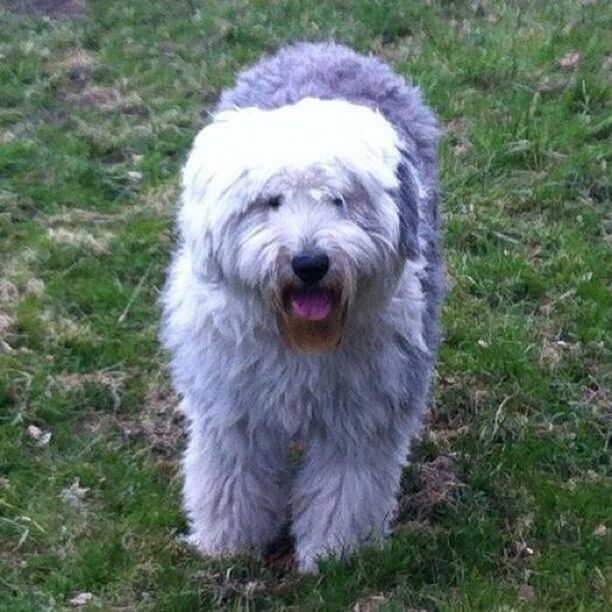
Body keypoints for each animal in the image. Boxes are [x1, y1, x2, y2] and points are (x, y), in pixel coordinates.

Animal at [160, 41, 442, 568]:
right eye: (271, 201)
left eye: (341, 200)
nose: (310, 263)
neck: (301, 339)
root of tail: (323, 46)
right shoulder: (232, 408)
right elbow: (233, 479)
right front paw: (228, 545)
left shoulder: (363, 413)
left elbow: (345, 488)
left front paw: (334, 555)